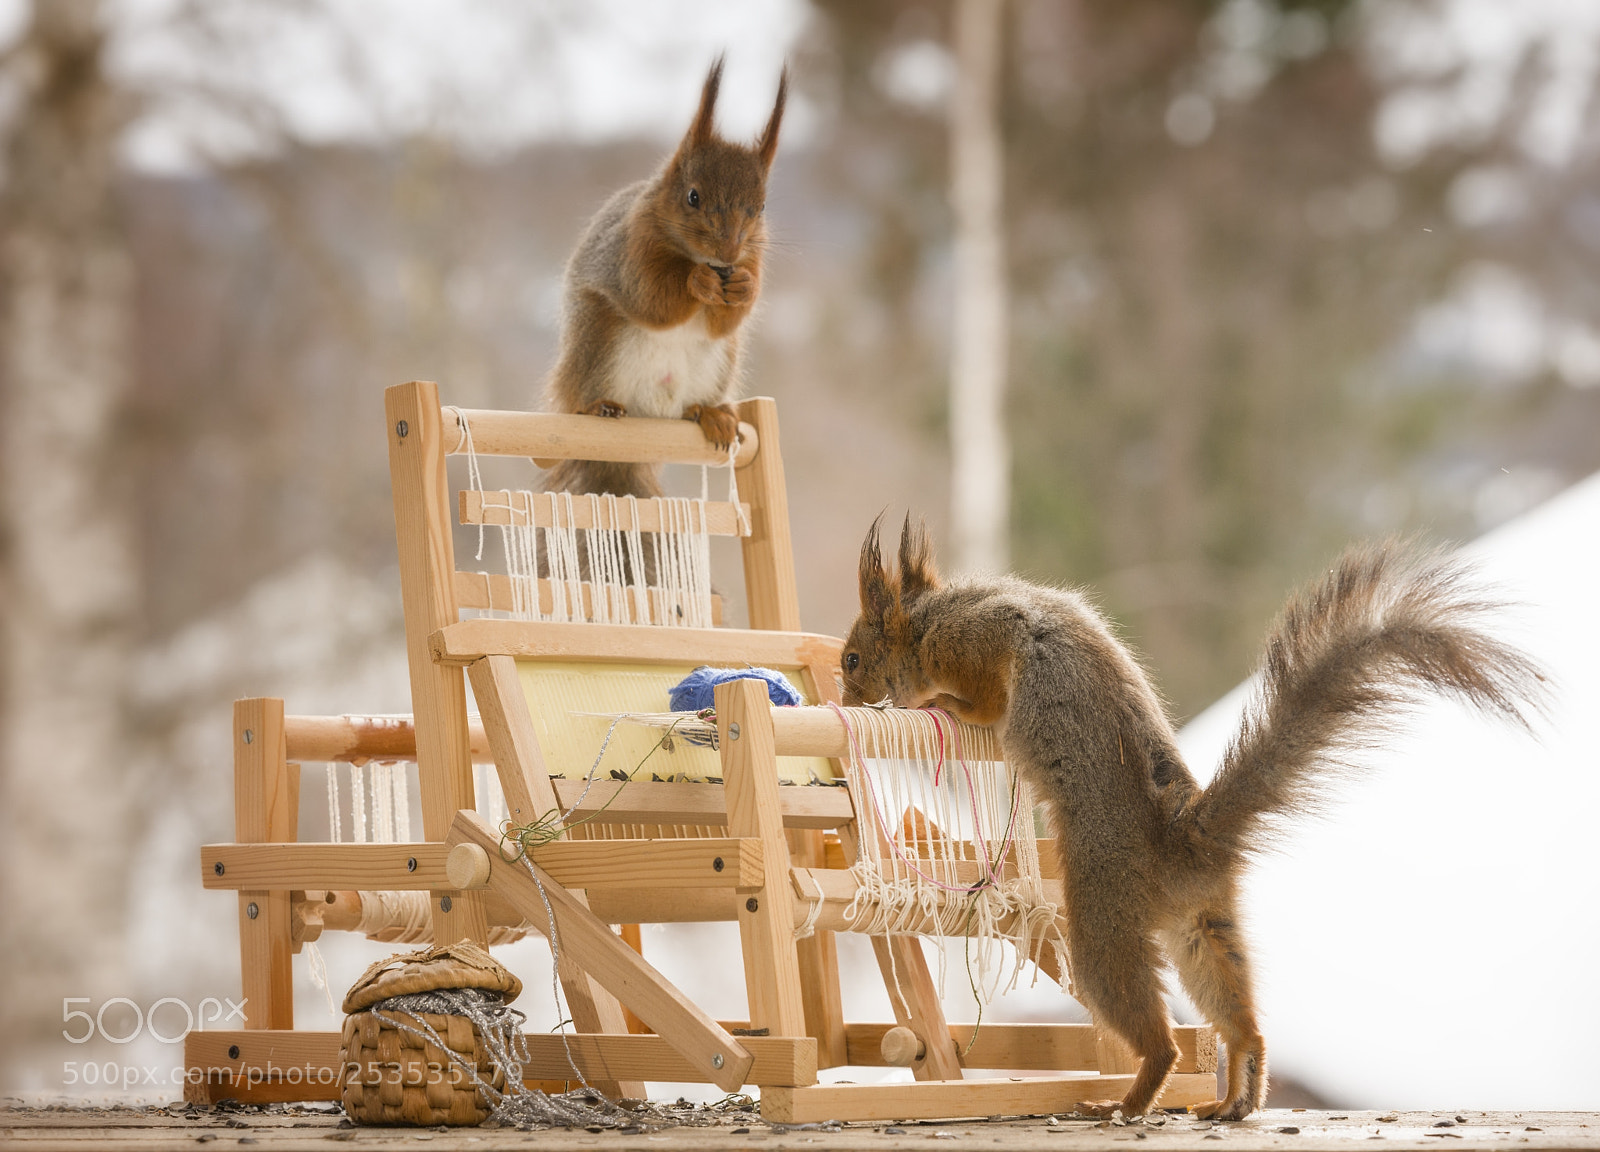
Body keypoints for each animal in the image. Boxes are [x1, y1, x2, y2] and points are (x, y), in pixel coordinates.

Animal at [542, 56, 787, 499]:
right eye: (692, 196)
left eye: (760, 208)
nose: (728, 254)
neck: (697, 257)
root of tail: (651, 413)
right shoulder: (630, 251)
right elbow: (651, 300)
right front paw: (696, 282)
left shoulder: (754, 255)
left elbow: (727, 318)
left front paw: (744, 287)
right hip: (599, 338)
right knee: (585, 396)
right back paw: (598, 407)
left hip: (719, 363)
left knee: (691, 406)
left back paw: (709, 413)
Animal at [840, 516, 1545, 1121]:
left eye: (851, 659)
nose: (846, 693)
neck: (932, 617)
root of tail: (1186, 843)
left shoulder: (975, 645)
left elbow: (982, 705)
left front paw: (937, 706)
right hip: (1202, 923)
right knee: (1239, 1016)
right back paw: (1237, 1092)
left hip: (1104, 917)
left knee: (1159, 1037)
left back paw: (1126, 1101)